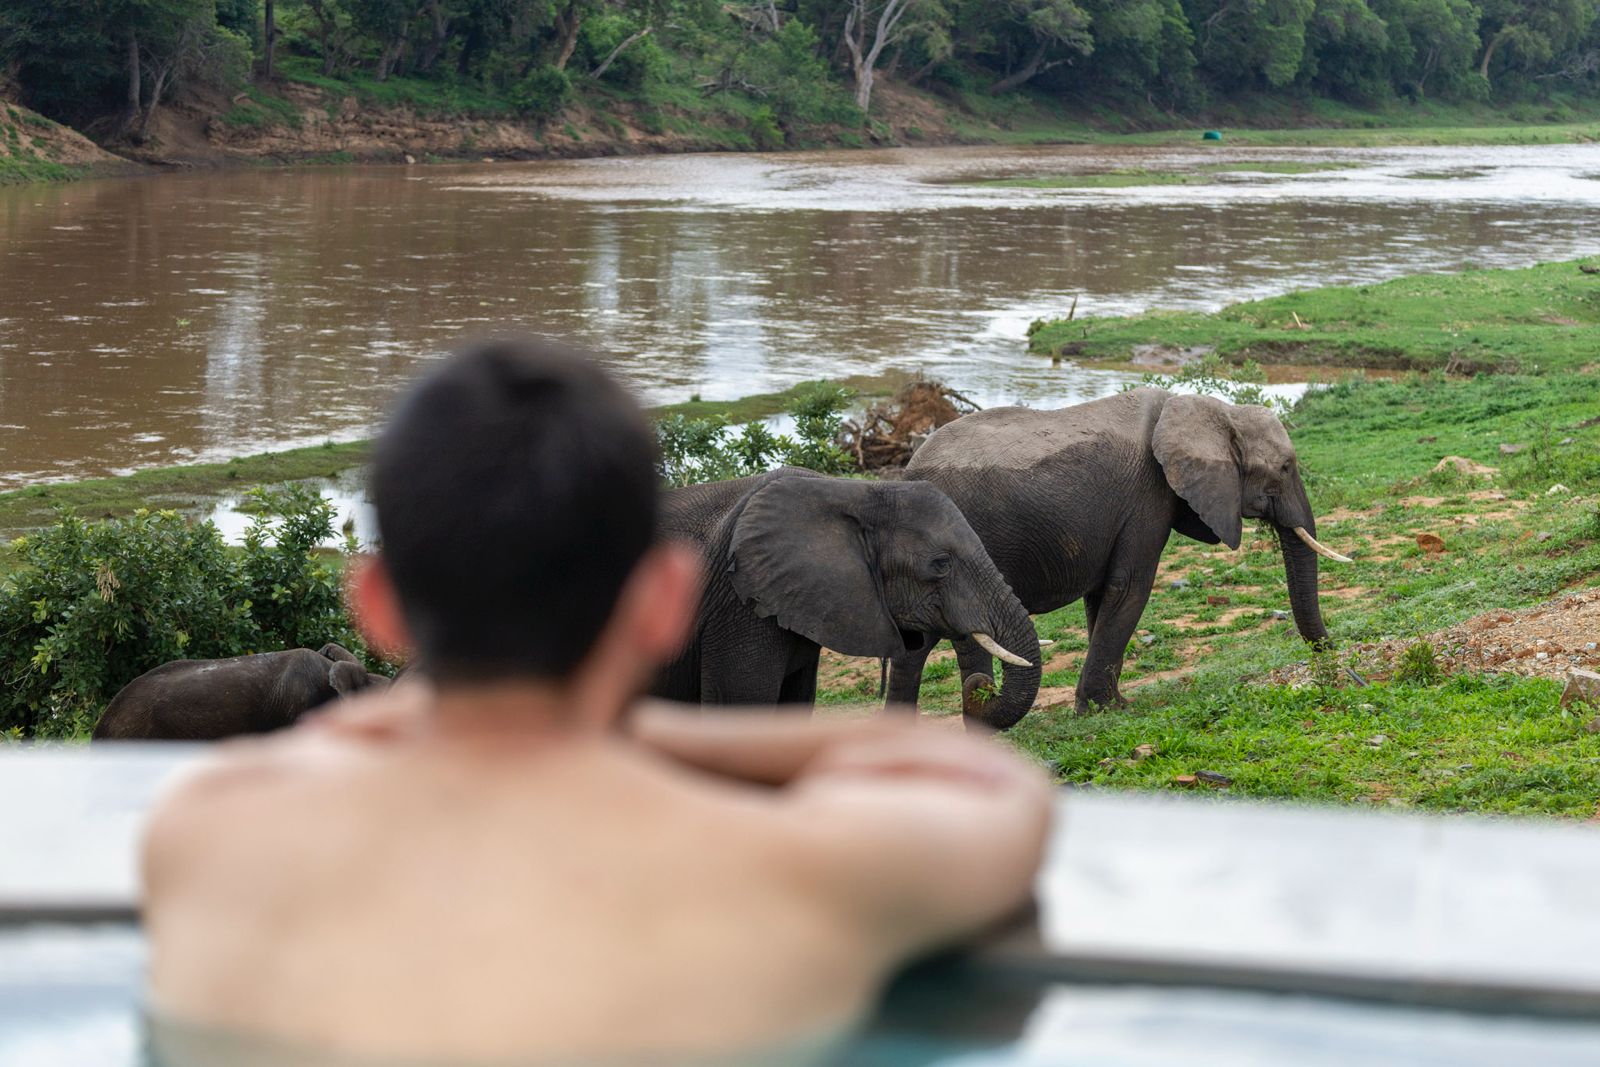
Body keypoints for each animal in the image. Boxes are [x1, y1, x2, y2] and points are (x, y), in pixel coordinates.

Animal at [888, 387, 1350, 723]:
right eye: (1286, 468)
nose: (1336, 653)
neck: (1207, 410)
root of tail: (906, 472)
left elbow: (1101, 598)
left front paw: (1107, 704)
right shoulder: (1147, 498)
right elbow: (1129, 590)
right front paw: (1106, 710)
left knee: (914, 645)